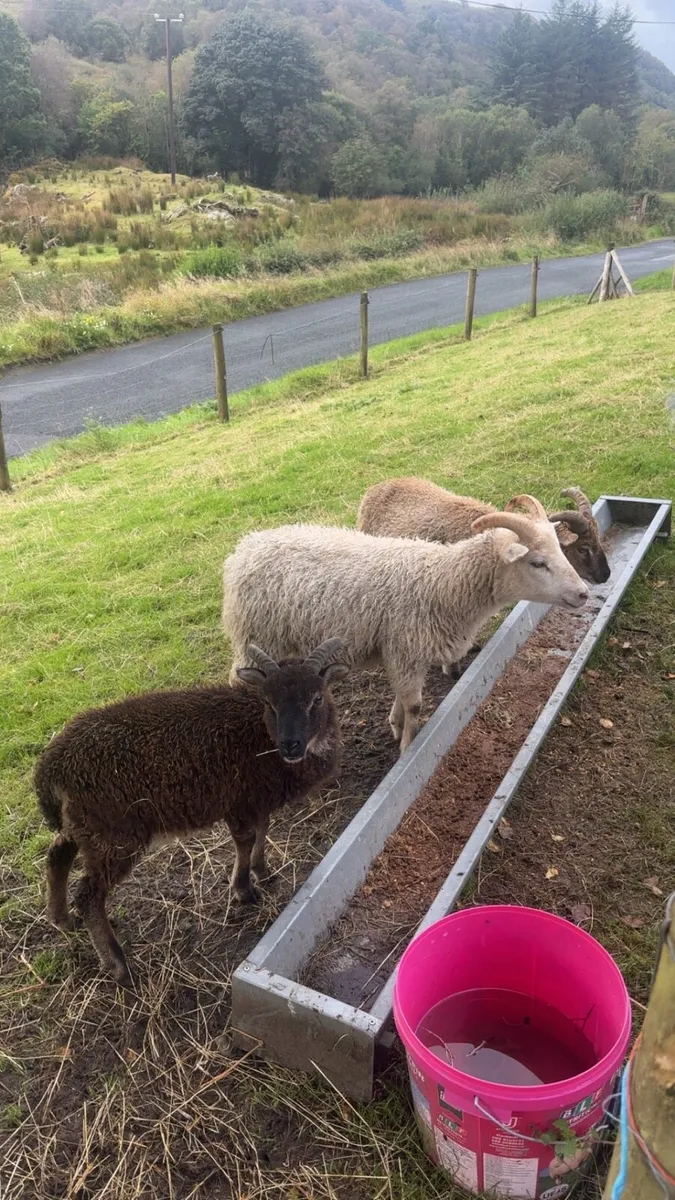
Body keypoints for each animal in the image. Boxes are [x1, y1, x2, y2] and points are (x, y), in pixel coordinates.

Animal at [34, 640, 349, 986]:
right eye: (270, 702)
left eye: (317, 698)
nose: (290, 745)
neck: (259, 734)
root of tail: (51, 765)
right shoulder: (238, 801)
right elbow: (245, 840)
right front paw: (243, 890)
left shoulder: (256, 798)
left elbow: (262, 831)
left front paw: (262, 871)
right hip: (114, 833)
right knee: (89, 895)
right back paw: (117, 964)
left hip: (82, 824)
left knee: (57, 856)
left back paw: (62, 920)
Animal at [223, 498, 589, 757]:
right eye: (537, 562)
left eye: (561, 550)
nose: (584, 593)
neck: (443, 582)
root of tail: (244, 548)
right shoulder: (406, 647)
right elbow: (414, 705)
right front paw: (407, 747)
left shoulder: (400, 651)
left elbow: (402, 696)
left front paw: (396, 725)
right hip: (258, 635)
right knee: (240, 681)